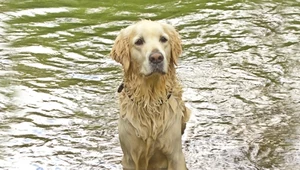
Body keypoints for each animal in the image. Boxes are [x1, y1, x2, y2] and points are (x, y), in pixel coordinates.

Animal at [110, 20, 190, 170]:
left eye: (163, 39)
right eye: (139, 41)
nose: (156, 57)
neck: (150, 99)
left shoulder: (175, 154)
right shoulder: (130, 157)